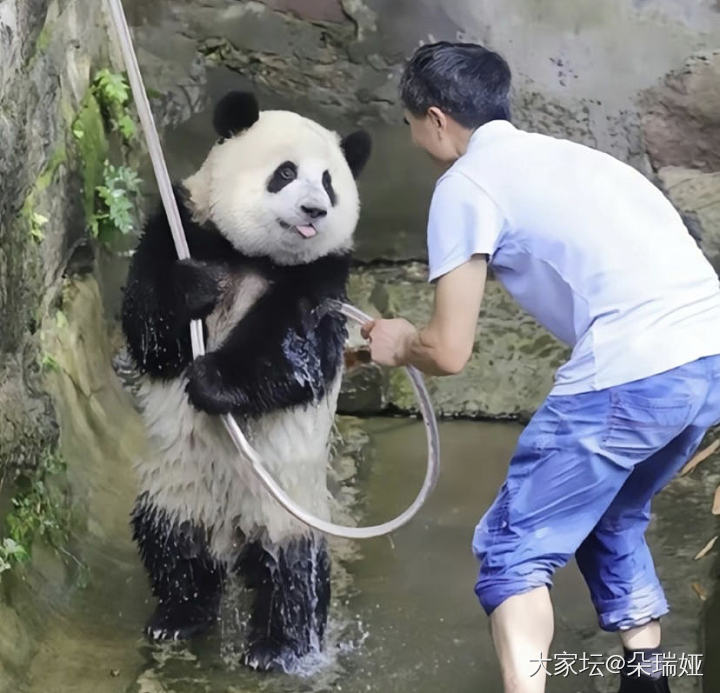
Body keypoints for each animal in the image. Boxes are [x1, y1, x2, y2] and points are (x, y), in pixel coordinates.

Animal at [119, 90, 372, 672]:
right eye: (286, 172)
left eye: (329, 181)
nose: (314, 211)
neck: (254, 257)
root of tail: (232, 530)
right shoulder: (184, 227)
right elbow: (148, 328)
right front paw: (194, 289)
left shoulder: (322, 279)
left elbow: (296, 357)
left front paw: (211, 380)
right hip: (177, 483)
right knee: (171, 544)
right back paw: (179, 616)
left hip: (287, 499)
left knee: (292, 568)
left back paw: (278, 648)